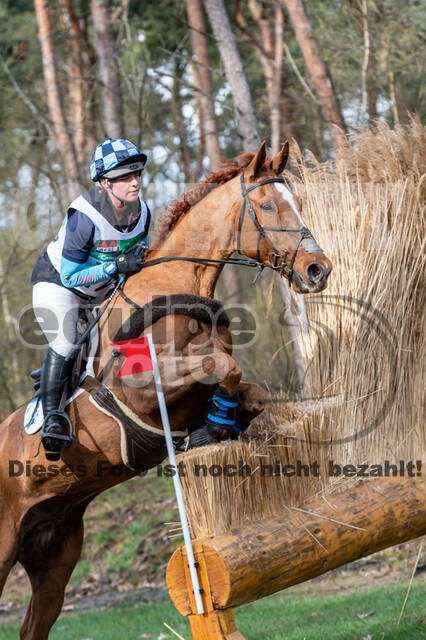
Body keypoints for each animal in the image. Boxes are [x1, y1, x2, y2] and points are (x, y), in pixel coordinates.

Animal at [0, 142, 332, 636]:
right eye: (269, 206)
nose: (318, 269)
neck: (177, 284)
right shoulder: (139, 388)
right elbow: (225, 365)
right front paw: (214, 427)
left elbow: (247, 389)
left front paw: (214, 426)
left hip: (53, 552)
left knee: (33, 625)